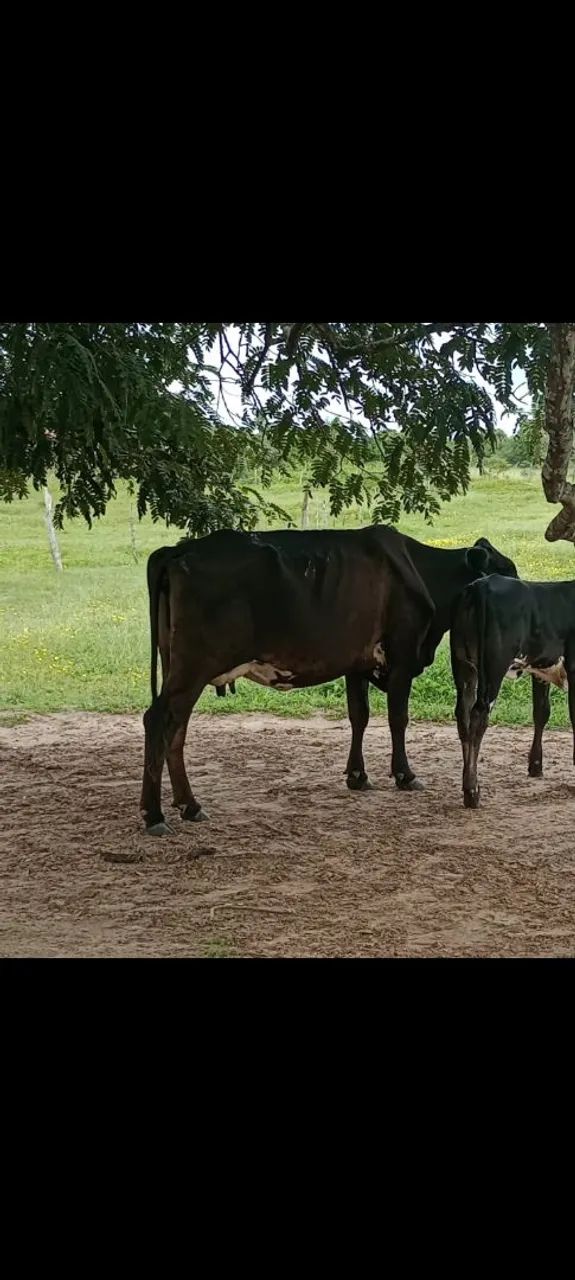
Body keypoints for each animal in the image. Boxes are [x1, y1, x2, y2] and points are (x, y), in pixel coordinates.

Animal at [140, 528, 517, 834]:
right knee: (158, 720)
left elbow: (359, 716)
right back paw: (154, 815)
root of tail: (177, 550)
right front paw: (404, 774)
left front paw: (357, 776)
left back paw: (189, 806)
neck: (423, 570)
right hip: (193, 667)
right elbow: (398, 719)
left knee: (176, 728)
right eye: (505, 573)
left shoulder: (356, 663)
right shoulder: (402, 655)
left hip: (177, 665)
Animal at [450, 573, 575, 808]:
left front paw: (535, 765)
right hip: (493, 668)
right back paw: (472, 791)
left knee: (463, 715)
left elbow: (541, 712)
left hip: (463, 665)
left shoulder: (540, 670)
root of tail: (483, 584)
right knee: (478, 716)